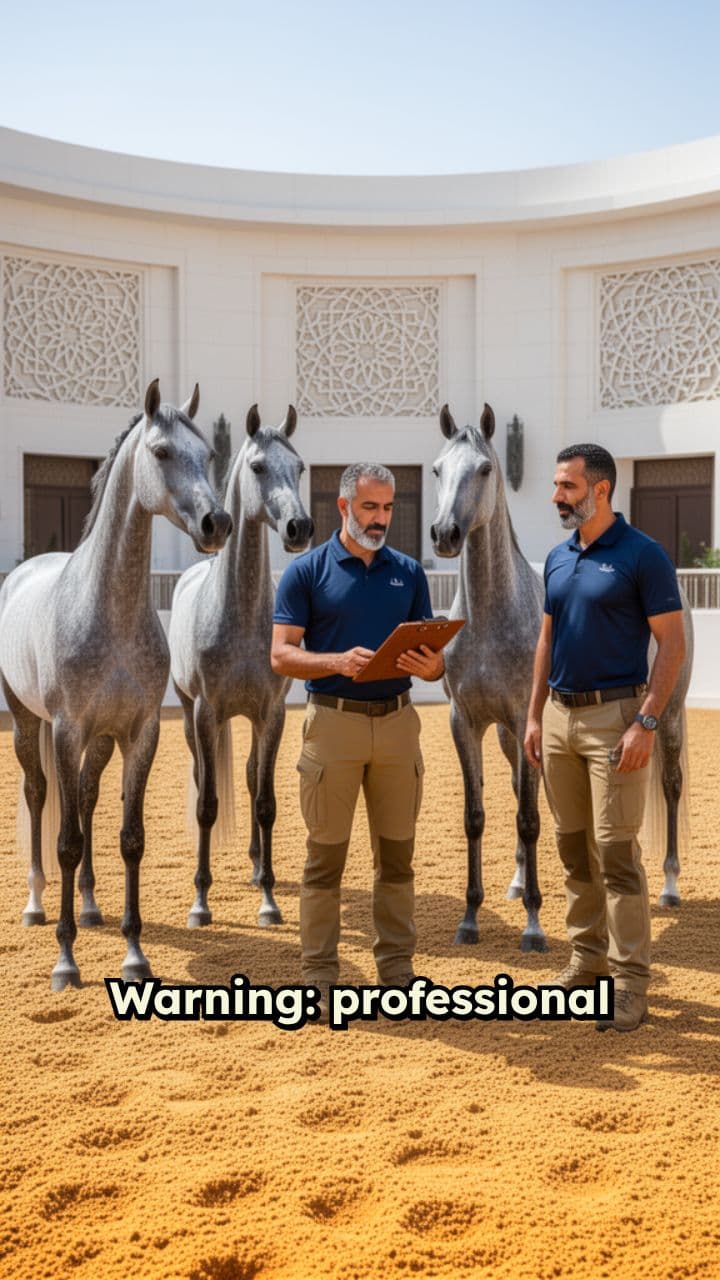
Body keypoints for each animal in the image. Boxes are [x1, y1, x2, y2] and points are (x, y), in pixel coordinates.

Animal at [0, 379, 232, 990]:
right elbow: (65, 841)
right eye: (161, 452)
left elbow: (130, 839)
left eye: (209, 455)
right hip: (28, 724)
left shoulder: (139, 732)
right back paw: (37, 905)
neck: (109, 608)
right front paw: (65, 961)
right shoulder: (66, 730)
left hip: (100, 742)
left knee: (84, 795)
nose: (217, 524)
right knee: (39, 795)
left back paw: (88, 905)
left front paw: (134, 952)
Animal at [168, 403, 313, 930]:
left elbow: (265, 801)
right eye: (257, 466)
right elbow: (208, 803)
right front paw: (199, 902)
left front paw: (268, 900)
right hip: (190, 714)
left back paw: (253, 865)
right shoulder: (206, 711)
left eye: (299, 468)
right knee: (202, 777)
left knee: (250, 777)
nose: (299, 528)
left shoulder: (271, 713)